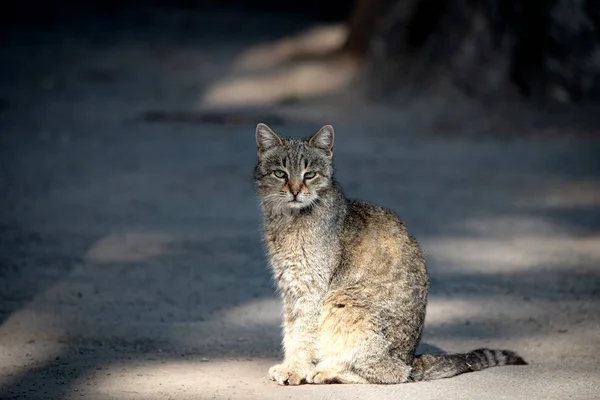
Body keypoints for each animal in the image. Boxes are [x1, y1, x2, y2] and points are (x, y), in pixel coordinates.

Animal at [253, 122, 524, 384]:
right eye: (280, 173)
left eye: (309, 174)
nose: (295, 191)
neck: (286, 220)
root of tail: (411, 359)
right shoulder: (291, 287)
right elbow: (291, 331)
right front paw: (291, 365)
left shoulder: (311, 289)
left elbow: (303, 334)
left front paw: (295, 369)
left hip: (342, 302)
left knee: (390, 373)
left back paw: (329, 371)